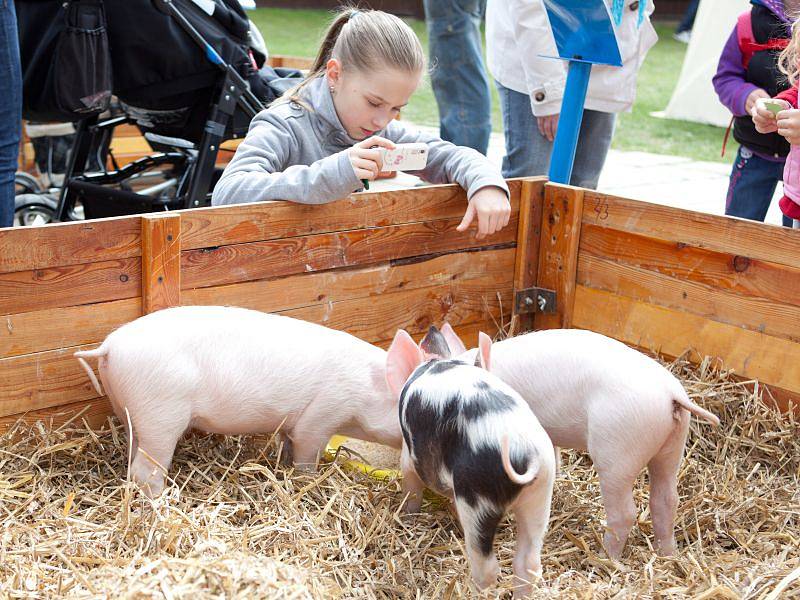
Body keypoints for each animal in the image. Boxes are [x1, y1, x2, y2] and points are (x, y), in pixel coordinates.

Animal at [74, 304, 400, 496]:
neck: (365, 390)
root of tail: (109, 346)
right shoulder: (324, 414)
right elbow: (307, 454)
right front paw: (307, 480)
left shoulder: (293, 424)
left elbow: (287, 443)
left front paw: (283, 466)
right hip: (161, 413)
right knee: (145, 468)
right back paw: (164, 499)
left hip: (126, 408)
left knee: (133, 451)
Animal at [384, 326, 552, 596]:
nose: (431, 328)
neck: (437, 361)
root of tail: (523, 452)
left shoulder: (408, 456)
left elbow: (411, 488)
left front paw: (407, 516)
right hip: (540, 493)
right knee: (529, 564)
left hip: (476, 496)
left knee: (488, 568)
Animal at [438, 326, 720, 560]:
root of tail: (671, 393)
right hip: (673, 445)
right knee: (666, 499)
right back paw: (668, 555)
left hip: (617, 453)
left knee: (625, 512)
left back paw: (604, 558)